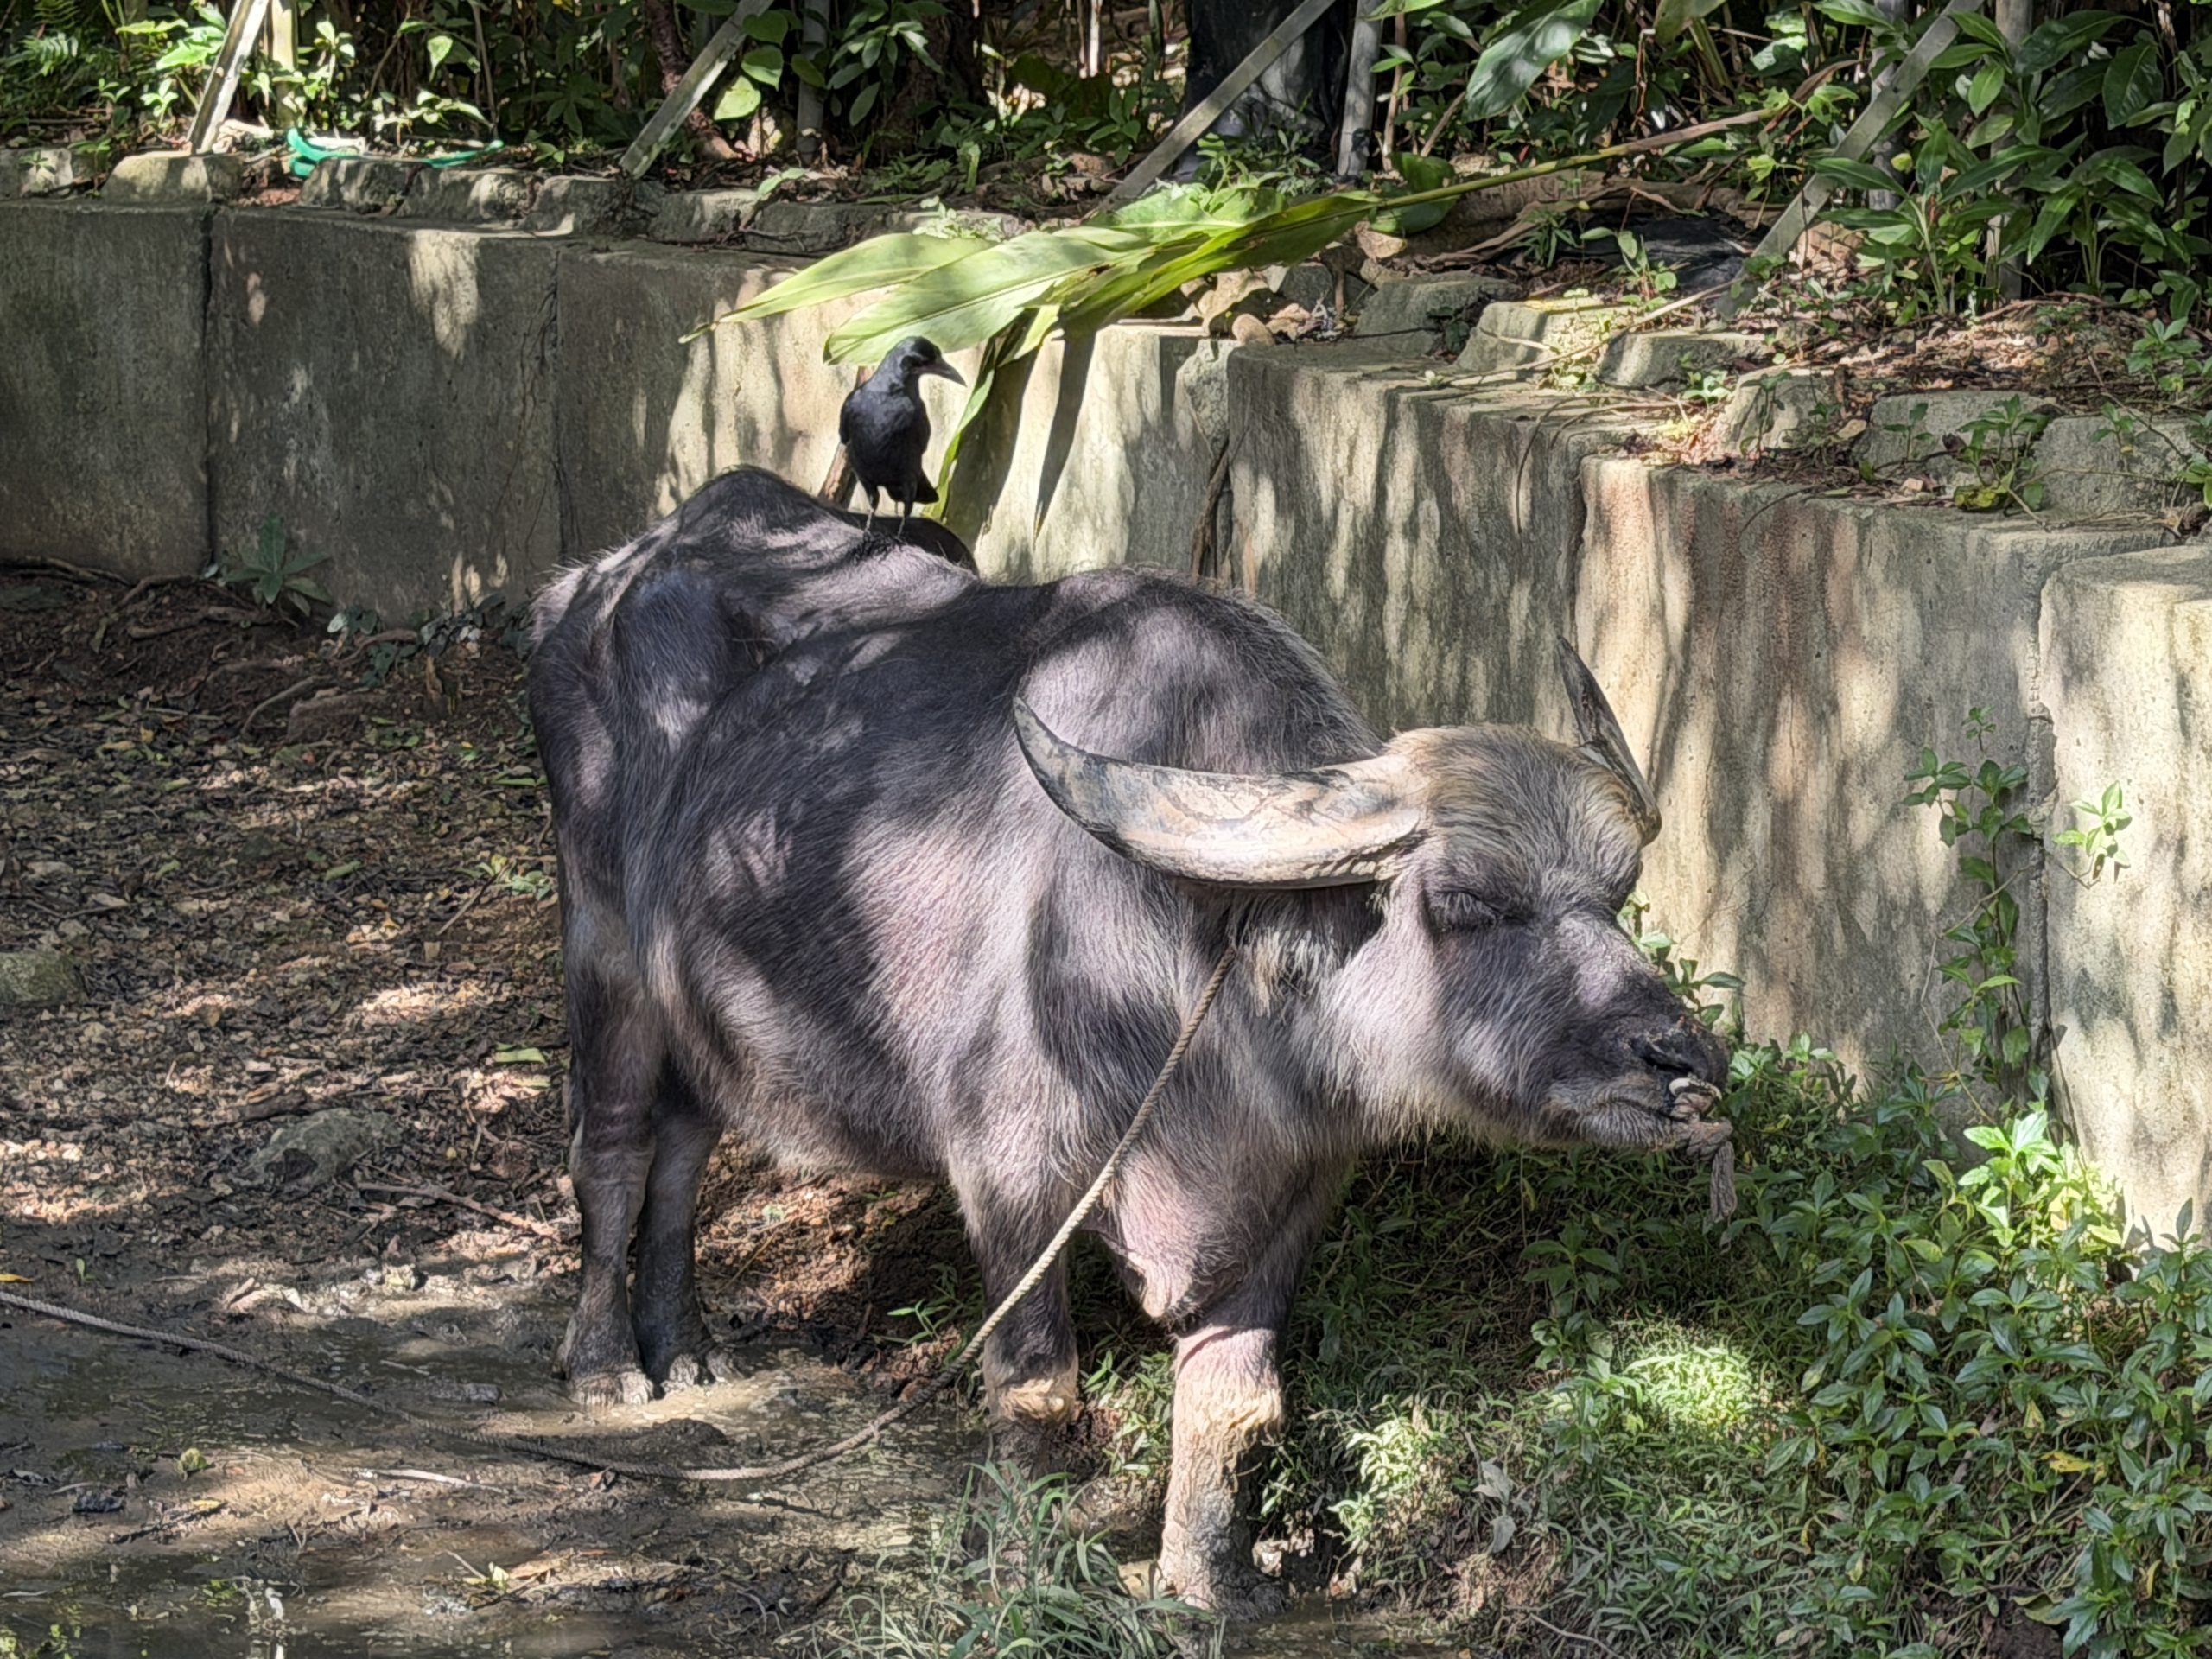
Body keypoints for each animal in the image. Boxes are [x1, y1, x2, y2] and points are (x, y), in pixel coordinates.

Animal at [527, 467, 1728, 1614]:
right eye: (1471, 901)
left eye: (1615, 895)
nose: (1684, 1061)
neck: (1204, 965)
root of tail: (596, 580)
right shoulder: (1010, 1174)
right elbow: (1036, 1385)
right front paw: (1023, 1568)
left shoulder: (1288, 1193)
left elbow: (1237, 1405)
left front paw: (1205, 1584)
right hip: (602, 942)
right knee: (616, 1142)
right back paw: (603, 1367)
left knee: (687, 1142)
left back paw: (683, 1347)